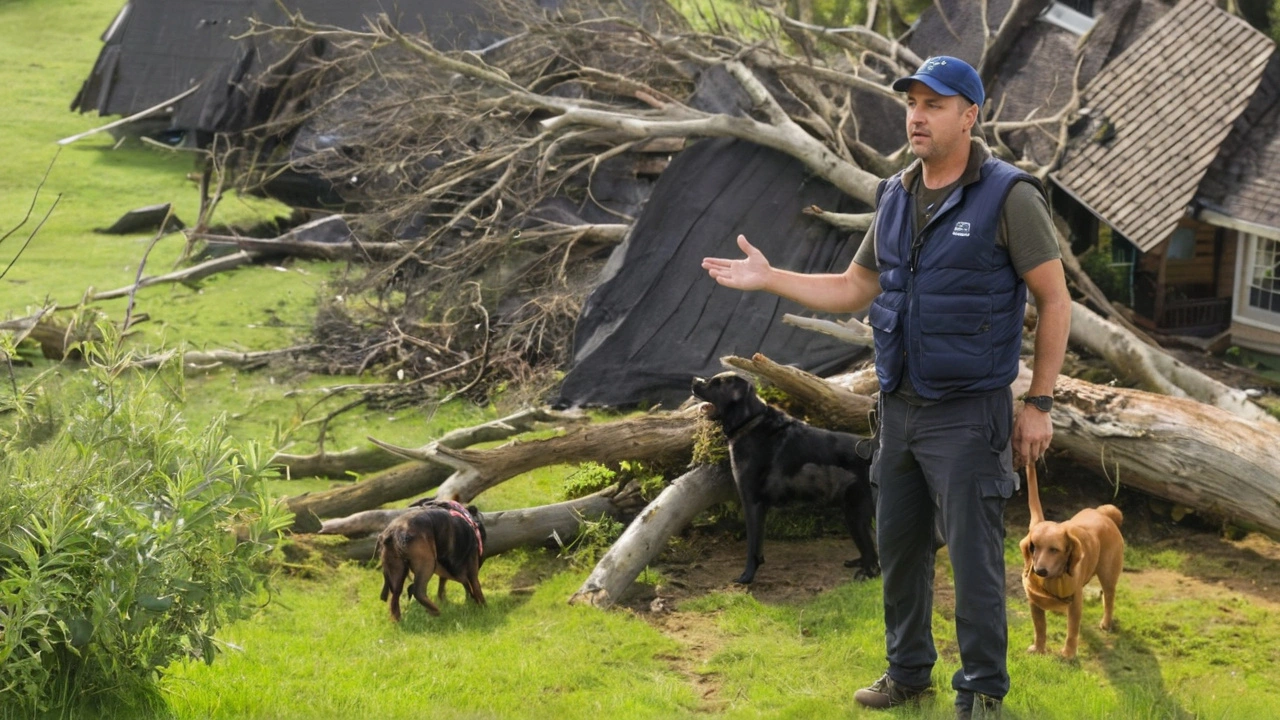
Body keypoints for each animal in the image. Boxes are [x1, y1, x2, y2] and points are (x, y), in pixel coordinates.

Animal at [691, 368, 880, 584]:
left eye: (715, 384)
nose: (694, 380)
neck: (751, 422)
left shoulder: (752, 501)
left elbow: (752, 545)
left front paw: (747, 576)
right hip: (853, 513)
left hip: (856, 512)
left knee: (874, 556)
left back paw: (866, 573)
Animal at [1018, 458, 1121, 655]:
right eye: (1034, 547)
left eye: (1054, 549)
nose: (1040, 571)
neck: (1053, 580)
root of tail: (1103, 513)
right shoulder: (1034, 602)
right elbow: (1040, 627)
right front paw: (1039, 648)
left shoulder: (1075, 602)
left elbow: (1072, 630)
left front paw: (1068, 654)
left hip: (1108, 575)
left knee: (1109, 598)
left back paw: (1106, 623)